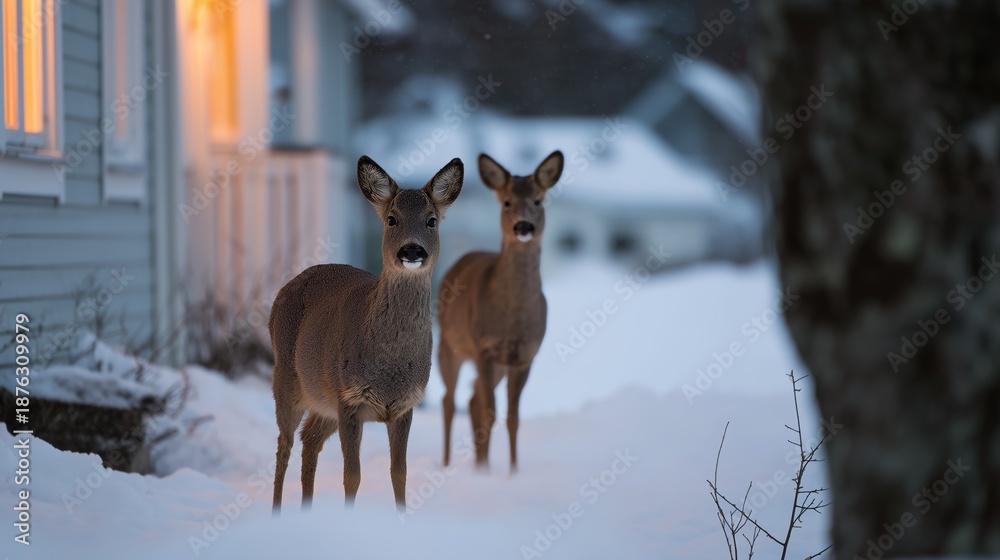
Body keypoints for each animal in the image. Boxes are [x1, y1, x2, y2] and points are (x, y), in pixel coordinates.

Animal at [269, 156, 463, 513]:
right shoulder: (350, 399)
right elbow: (352, 476)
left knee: (308, 440)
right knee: (284, 444)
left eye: (431, 220)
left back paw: (306, 511)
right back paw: (277, 512)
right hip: (287, 379)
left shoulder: (404, 405)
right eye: (391, 219)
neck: (390, 366)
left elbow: (399, 473)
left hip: (323, 400)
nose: (411, 250)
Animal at [437, 150, 563, 473]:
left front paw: (513, 472)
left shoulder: (525, 355)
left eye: (538, 200)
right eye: (506, 202)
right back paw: (447, 464)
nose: (523, 227)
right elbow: (490, 413)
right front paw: (486, 471)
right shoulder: (483, 347)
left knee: (471, 399)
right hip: (449, 345)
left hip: (498, 366)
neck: (512, 316)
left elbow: (512, 418)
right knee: (449, 401)